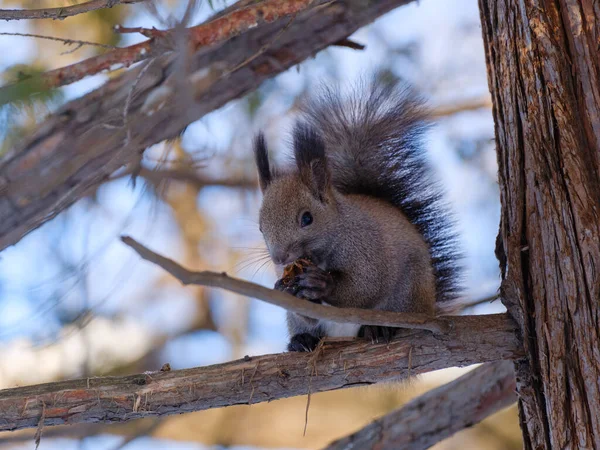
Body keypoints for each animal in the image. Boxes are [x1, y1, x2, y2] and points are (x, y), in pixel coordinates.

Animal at [251, 76, 462, 352]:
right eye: (260, 227)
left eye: (307, 218)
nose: (279, 258)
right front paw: (284, 290)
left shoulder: (367, 247)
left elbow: (366, 286)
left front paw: (323, 284)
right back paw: (302, 340)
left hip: (408, 294)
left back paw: (379, 328)